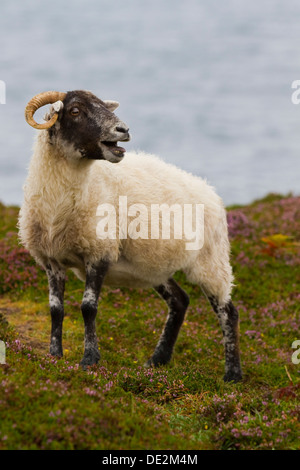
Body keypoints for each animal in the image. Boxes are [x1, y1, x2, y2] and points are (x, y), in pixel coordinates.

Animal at [18, 91, 243, 382]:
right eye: (75, 111)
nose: (123, 130)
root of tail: (211, 191)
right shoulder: (51, 260)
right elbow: (56, 309)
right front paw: (54, 356)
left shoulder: (100, 252)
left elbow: (88, 307)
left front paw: (89, 359)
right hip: (154, 266)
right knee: (180, 301)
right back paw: (157, 360)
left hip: (211, 260)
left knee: (228, 311)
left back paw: (233, 374)